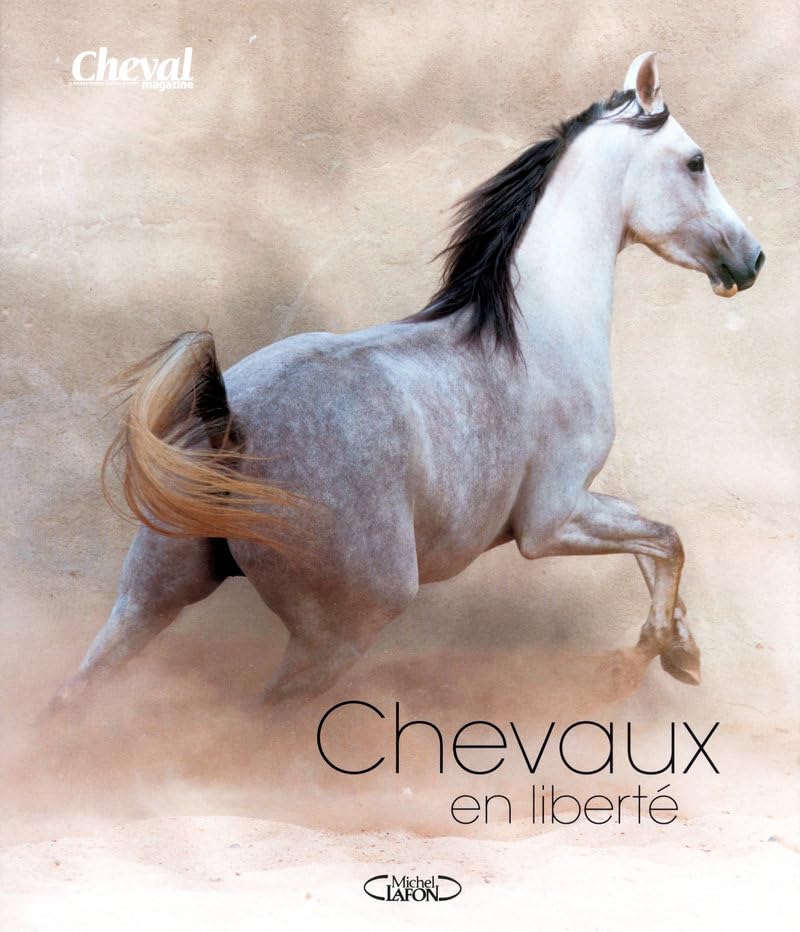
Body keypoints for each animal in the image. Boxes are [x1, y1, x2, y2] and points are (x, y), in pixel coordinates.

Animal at [51, 52, 764, 713]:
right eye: (697, 161)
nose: (752, 258)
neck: (538, 330)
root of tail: (231, 424)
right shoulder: (551, 520)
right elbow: (667, 539)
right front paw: (646, 658)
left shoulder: (577, 507)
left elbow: (657, 541)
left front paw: (682, 651)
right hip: (341, 630)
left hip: (147, 597)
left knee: (74, 696)